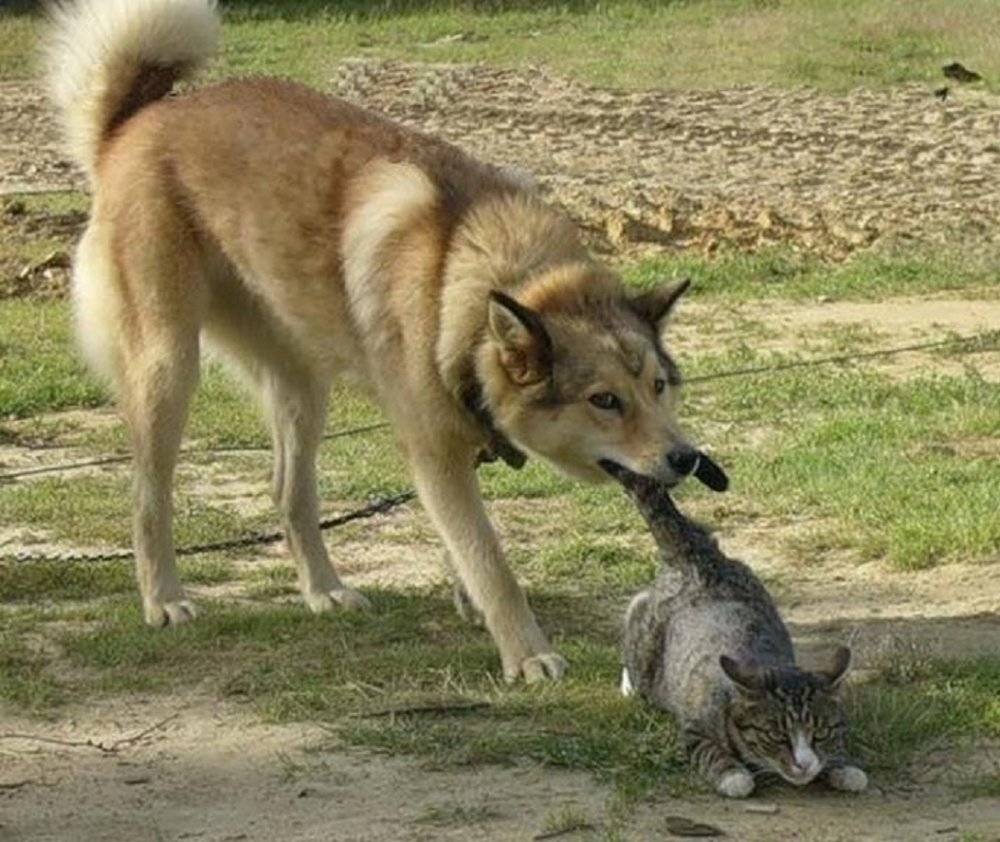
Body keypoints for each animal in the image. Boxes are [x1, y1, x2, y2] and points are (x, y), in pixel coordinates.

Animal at [45, 0, 712, 684]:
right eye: (605, 400)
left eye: (659, 387)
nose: (686, 458)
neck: (470, 274)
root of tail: (135, 122)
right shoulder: (434, 452)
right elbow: (489, 558)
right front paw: (527, 654)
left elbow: (460, 547)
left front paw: (473, 606)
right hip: (168, 369)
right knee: (148, 495)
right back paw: (164, 599)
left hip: (301, 388)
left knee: (289, 495)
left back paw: (324, 590)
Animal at [600, 456, 868, 796]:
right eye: (777, 736)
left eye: (819, 734)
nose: (804, 764)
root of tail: (698, 557)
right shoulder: (695, 729)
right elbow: (712, 754)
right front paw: (735, 776)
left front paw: (845, 768)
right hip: (645, 643)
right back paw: (629, 687)